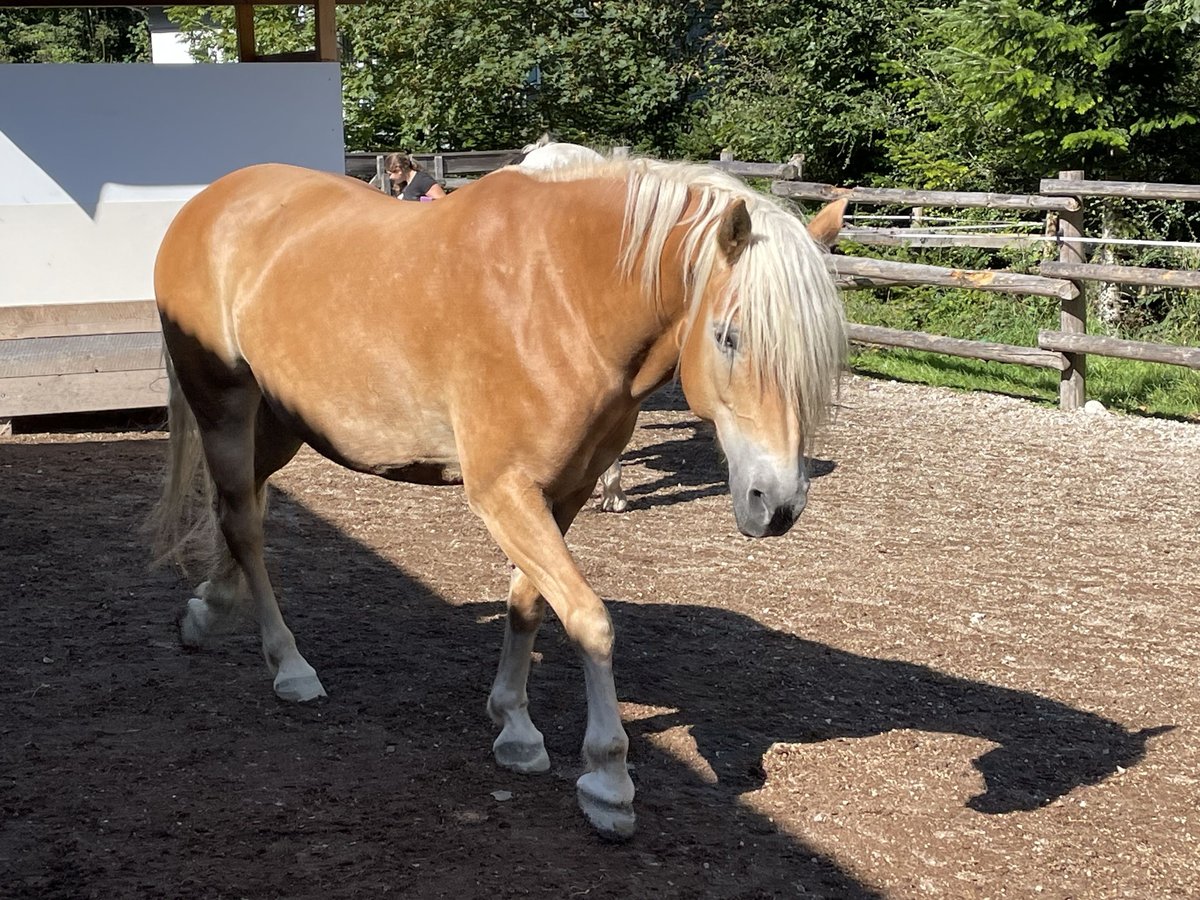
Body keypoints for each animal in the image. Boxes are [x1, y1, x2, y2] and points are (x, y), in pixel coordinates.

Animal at [147, 153, 844, 840]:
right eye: (729, 336)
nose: (777, 503)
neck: (565, 299)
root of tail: (207, 203)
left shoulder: (563, 492)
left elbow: (529, 605)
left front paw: (514, 726)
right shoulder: (503, 492)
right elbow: (589, 619)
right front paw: (607, 778)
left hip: (283, 421)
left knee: (239, 508)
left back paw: (208, 610)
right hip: (225, 406)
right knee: (244, 521)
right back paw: (289, 665)